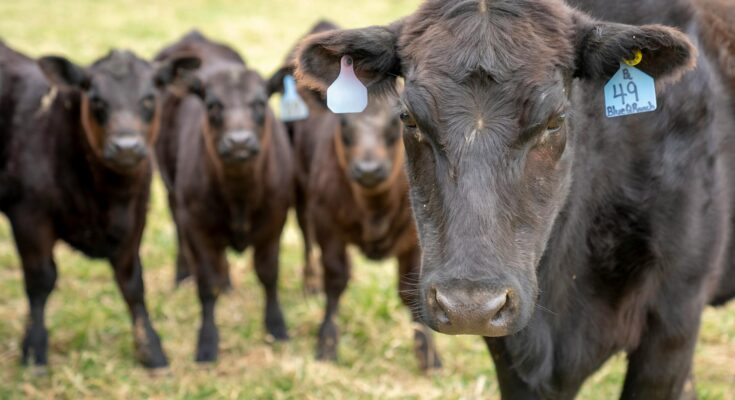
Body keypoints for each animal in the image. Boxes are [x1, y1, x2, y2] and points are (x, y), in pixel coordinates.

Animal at [0, 41, 199, 369]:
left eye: (149, 98)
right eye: (96, 100)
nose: (126, 147)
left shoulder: (135, 217)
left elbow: (132, 282)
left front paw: (151, 349)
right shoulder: (29, 216)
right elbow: (40, 280)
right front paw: (34, 350)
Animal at [154, 31, 293, 363]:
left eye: (260, 102)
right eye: (213, 104)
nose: (239, 142)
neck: (239, 197)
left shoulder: (275, 223)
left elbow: (268, 274)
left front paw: (276, 327)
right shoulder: (198, 227)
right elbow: (206, 285)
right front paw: (207, 342)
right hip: (171, 192)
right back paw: (182, 275)